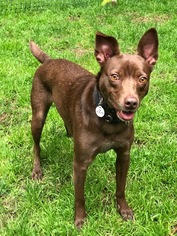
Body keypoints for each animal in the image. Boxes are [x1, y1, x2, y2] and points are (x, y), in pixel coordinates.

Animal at [29, 28, 158, 229]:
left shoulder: (124, 155)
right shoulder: (81, 164)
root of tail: (48, 60)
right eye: (115, 76)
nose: (131, 103)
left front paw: (123, 209)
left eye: (142, 79)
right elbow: (79, 197)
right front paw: (80, 219)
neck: (108, 119)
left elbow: (121, 187)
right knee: (36, 145)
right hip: (38, 116)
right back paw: (37, 170)